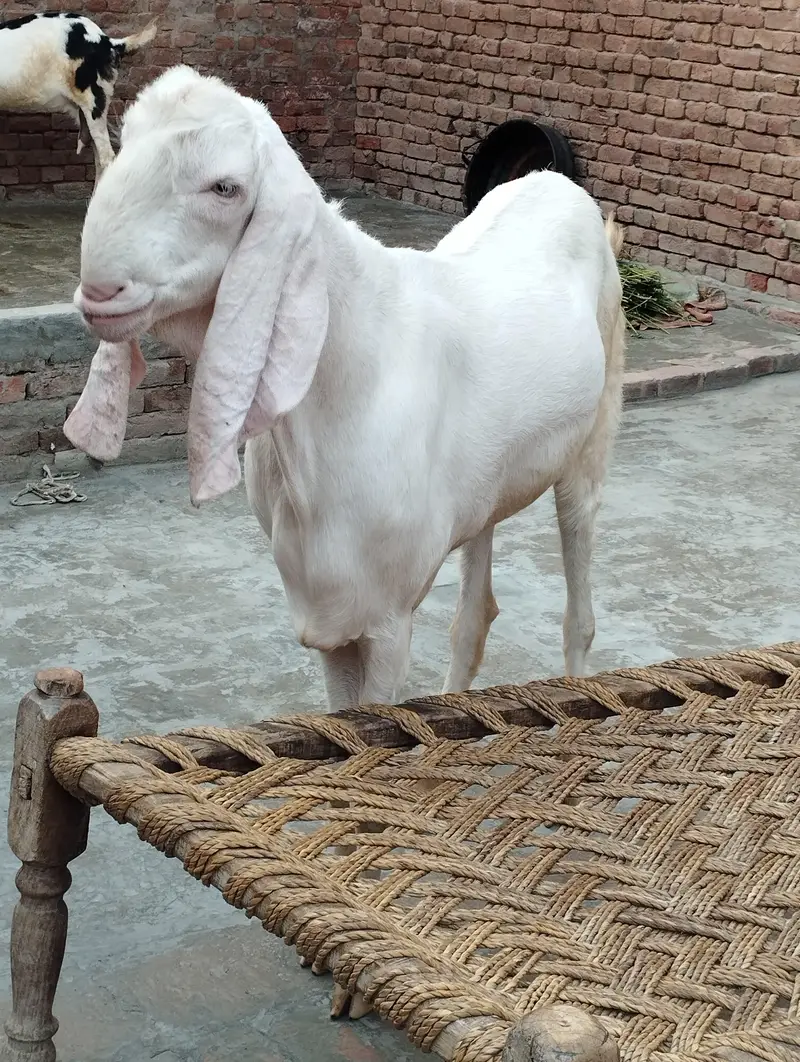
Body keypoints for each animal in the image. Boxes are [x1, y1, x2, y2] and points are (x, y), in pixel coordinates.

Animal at [67, 62, 625, 709]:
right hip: (489, 482)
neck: (351, 383)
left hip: (594, 430)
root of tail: (558, 184)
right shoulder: (331, 611)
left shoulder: (387, 615)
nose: (99, 293)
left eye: (224, 188)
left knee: (579, 596)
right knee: (472, 616)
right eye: (124, 143)